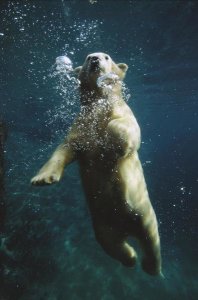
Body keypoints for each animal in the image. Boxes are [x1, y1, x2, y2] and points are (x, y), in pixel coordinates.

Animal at [30, 52, 161, 276]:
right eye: (86, 57)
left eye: (106, 57)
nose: (94, 59)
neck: (99, 103)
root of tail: (126, 227)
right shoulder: (79, 127)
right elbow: (64, 150)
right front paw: (41, 179)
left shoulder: (123, 112)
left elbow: (127, 129)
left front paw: (111, 139)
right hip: (102, 224)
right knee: (110, 243)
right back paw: (131, 257)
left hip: (143, 213)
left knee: (151, 238)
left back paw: (150, 266)